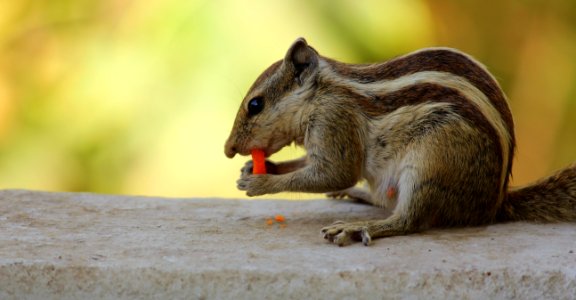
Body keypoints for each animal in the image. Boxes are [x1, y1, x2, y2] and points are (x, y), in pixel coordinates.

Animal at [224, 37, 576, 246]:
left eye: (255, 105)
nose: (228, 150)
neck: (319, 95)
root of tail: (493, 204)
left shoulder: (334, 121)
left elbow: (336, 172)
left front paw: (260, 182)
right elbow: (308, 166)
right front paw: (260, 167)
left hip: (430, 163)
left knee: (409, 220)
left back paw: (357, 227)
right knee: (386, 202)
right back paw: (359, 196)